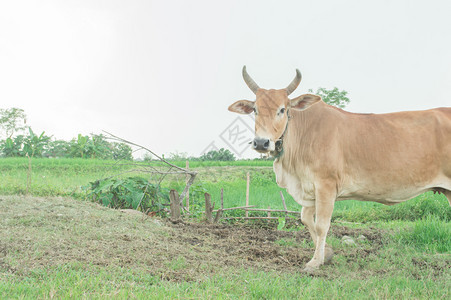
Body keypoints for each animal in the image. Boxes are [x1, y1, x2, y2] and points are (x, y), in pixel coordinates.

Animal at [230, 66, 451, 272]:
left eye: (283, 109)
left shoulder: (325, 185)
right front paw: (327, 253)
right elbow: (306, 219)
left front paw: (315, 262)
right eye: (255, 109)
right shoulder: (310, 188)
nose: (261, 143)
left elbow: (321, 225)